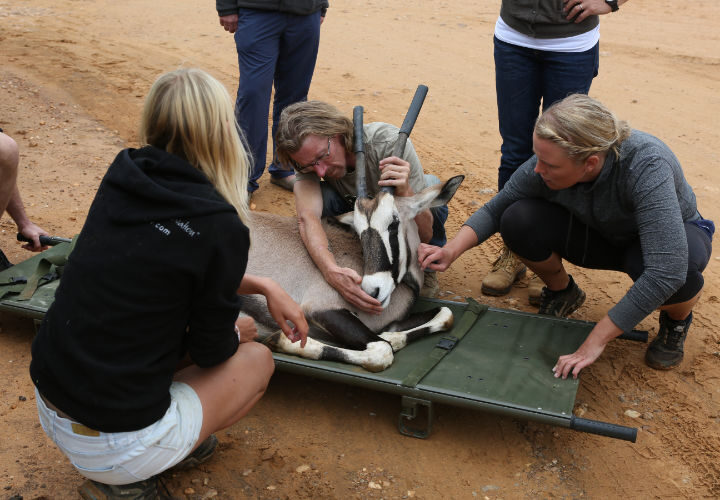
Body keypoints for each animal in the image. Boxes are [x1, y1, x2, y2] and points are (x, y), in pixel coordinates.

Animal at [242, 174, 464, 374]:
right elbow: (382, 350)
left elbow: (446, 314)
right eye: (359, 230)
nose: (372, 291)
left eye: (393, 223)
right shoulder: (320, 308)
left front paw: (392, 337)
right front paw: (280, 340)